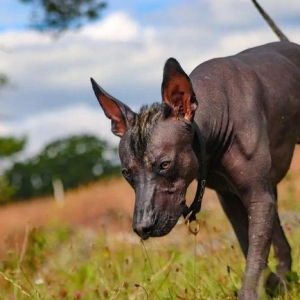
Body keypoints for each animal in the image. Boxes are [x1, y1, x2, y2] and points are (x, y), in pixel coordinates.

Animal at [89, 1, 300, 298]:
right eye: (126, 173)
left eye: (165, 164)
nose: (142, 227)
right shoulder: (232, 199)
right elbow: (251, 249)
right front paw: (271, 283)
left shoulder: (258, 196)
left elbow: (254, 258)